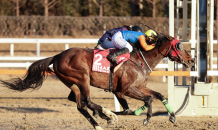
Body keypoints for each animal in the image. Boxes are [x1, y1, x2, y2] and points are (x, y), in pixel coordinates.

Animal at [0, 33, 194, 129]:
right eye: (179, 46)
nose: (191, 60)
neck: (139, 60)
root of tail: (57, 55)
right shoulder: (124, 90)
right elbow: (147, 100)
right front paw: (144, 118)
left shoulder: (138, 87)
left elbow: (157, 95)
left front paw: (172, 116)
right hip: (82, 78)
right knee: (87, 101)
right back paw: (107, 115)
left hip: (72, 83)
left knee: (80, 104)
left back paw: (99, 123)